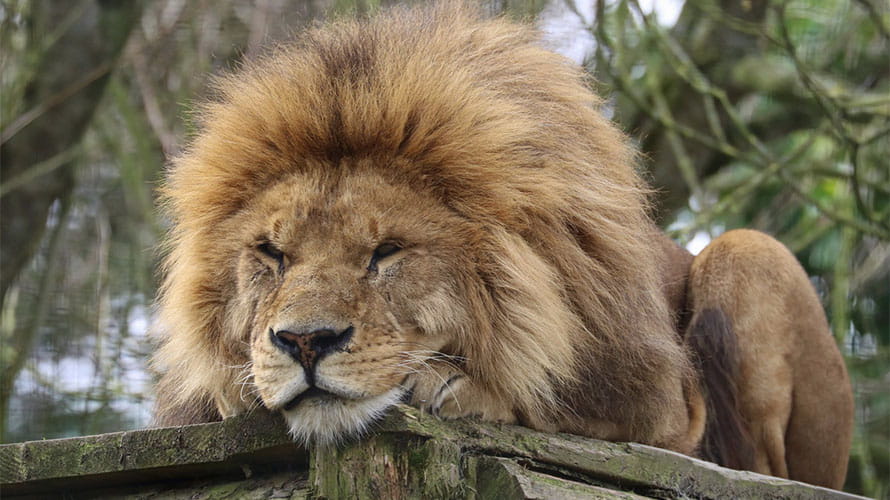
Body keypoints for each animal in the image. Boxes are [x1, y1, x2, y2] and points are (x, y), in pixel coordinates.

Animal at [151, 3, 853, 490]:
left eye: (387, 252)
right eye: (271, 255)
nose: (304, 343)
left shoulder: (670, 407)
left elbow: (542, 390)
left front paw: (454, 384)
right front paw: (237, 388)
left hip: (749, 253)